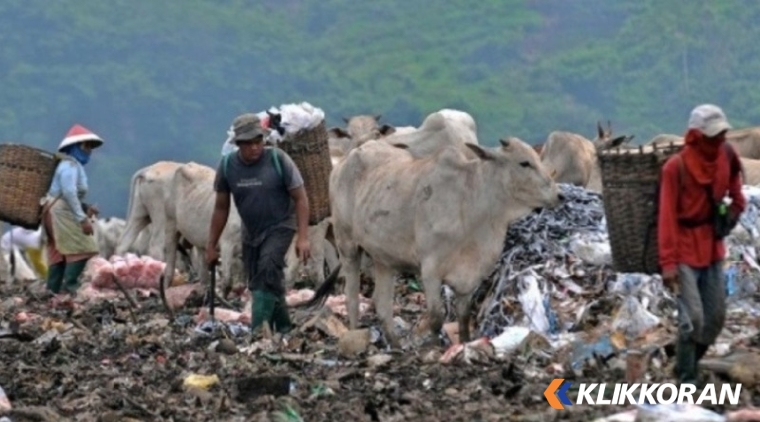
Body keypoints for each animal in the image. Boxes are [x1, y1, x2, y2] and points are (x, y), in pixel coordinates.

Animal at [306, 109, 560, 350]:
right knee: (352, 297)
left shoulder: (469, 278)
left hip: (383, 258)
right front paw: (431, 345)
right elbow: (437, 317)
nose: (558, 195)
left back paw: (395, 345)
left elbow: (464, 318)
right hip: (347, 243)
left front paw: (464, 344)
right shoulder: (430, 269)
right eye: (524, 163)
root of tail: (349, 157)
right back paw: (354, 334)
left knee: (382, 303)